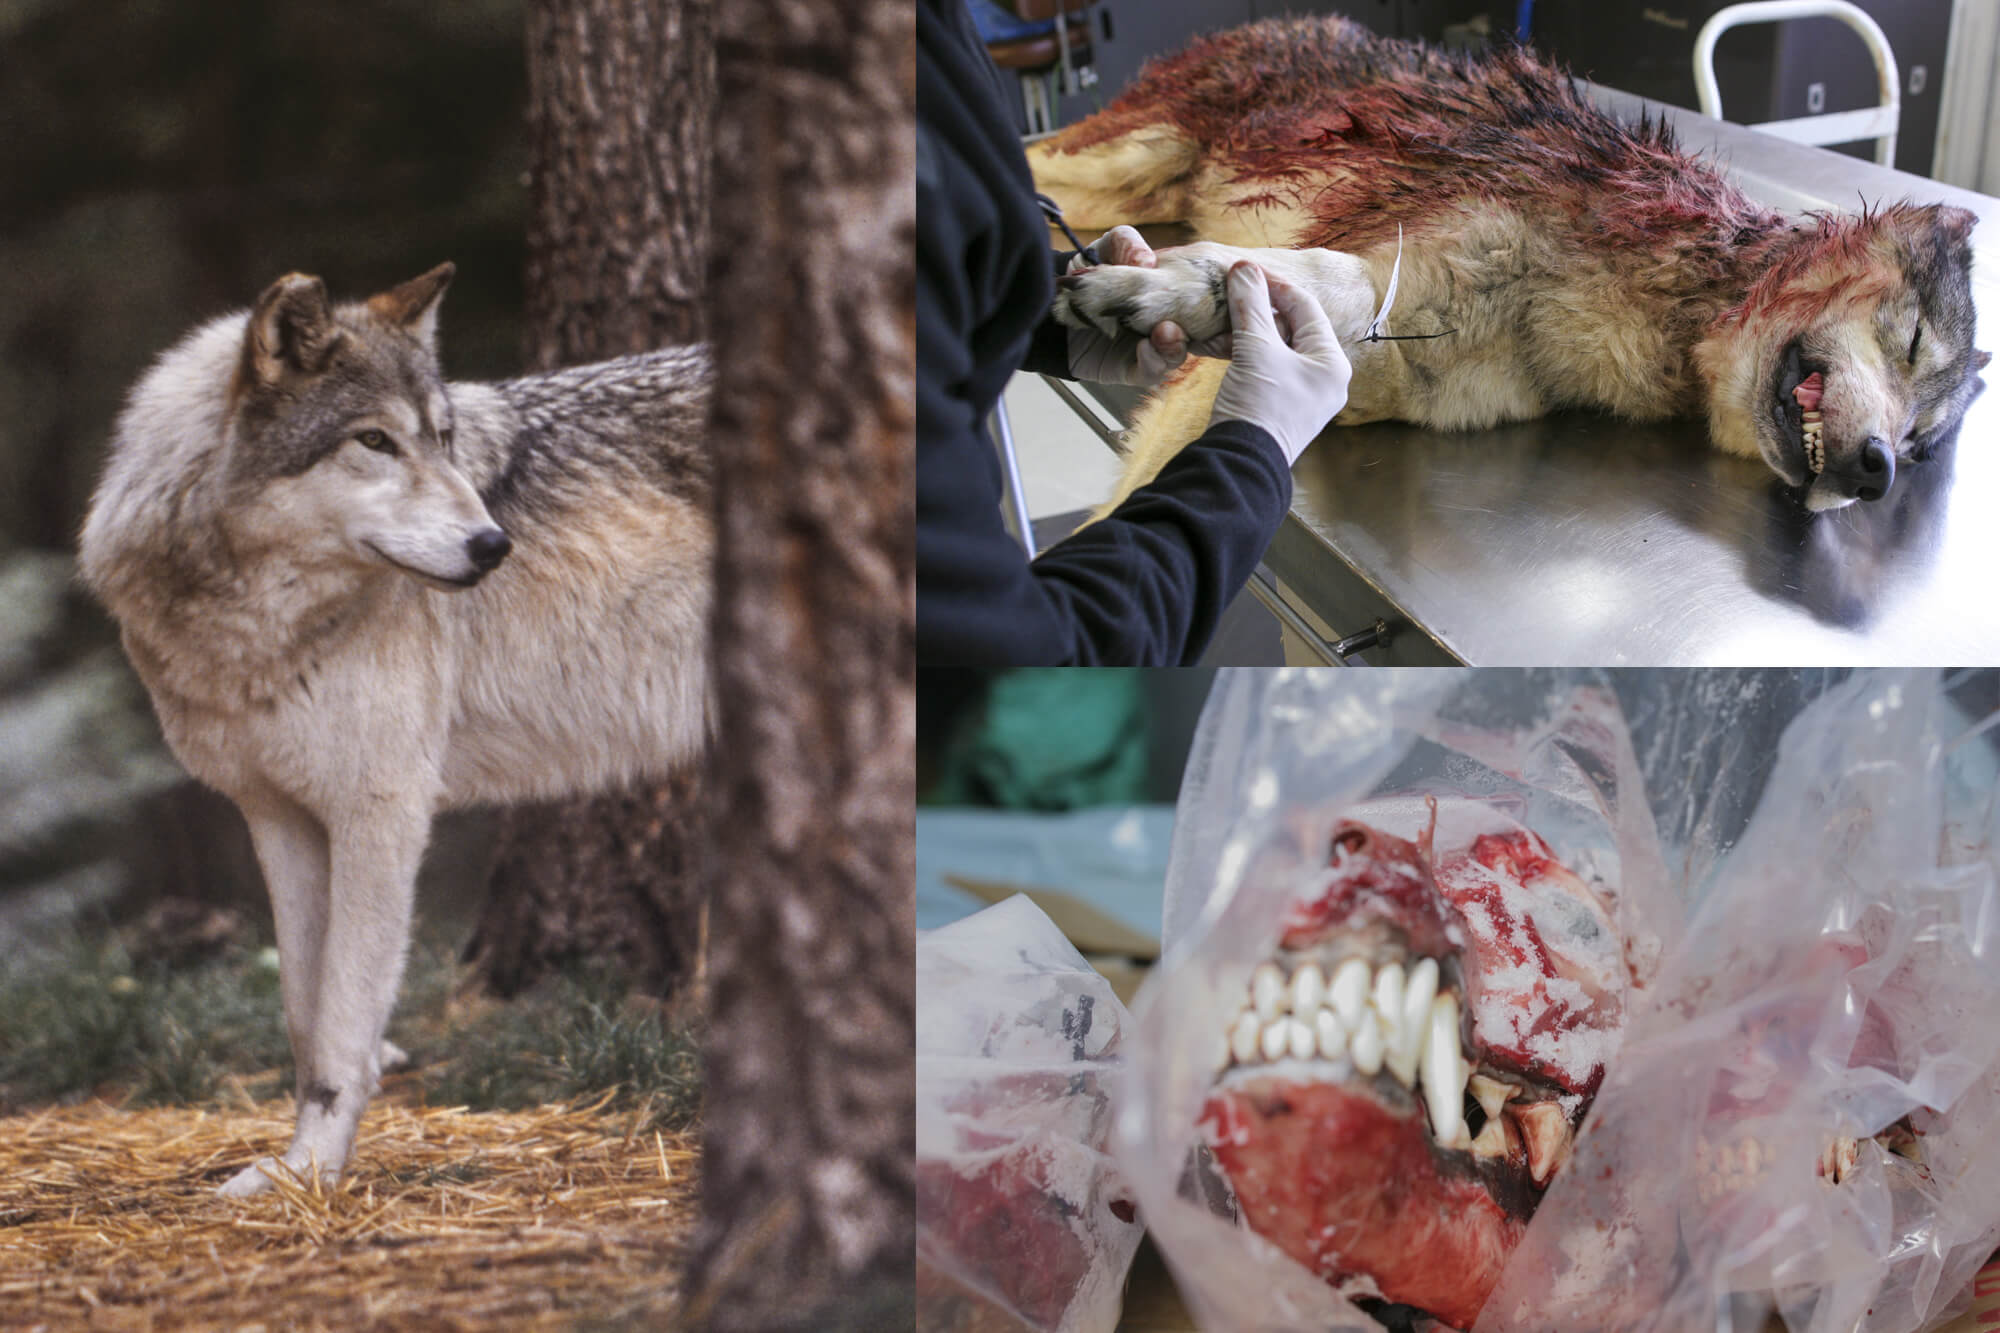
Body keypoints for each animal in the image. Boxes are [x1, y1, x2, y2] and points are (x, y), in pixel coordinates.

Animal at [77, 264, 711, 1196]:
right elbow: (304, 1014)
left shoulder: (381, 810)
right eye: (374, 441)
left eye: (444, 440)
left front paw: (311, 1174)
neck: (255, 625)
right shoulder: (279, 816)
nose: (493, 544)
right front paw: (291, 1170)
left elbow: (345, 1021)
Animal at [1030, 17, 1986, 515]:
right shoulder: (1379, 266)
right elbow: (1314, 277)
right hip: (1132, 151)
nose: (1877, 472)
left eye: (1919, 441)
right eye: (1910, 342)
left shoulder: (1384, 366)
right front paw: (1159, 287)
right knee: (1042, 153)